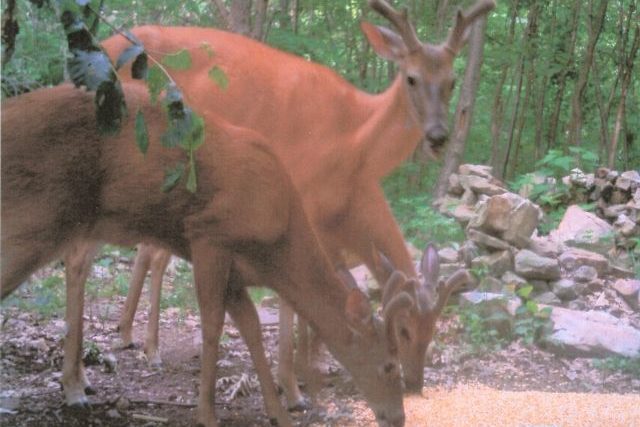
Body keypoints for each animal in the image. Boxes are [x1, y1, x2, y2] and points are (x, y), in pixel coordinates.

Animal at [0, 83, 410, 427]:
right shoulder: (209, 235)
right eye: (390, 366)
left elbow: (251, 329)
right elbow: (212, 326)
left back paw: (74, 386)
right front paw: (207, 413)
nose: (398, 418)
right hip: (31, 220)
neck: (277, 240)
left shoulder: (237, 273)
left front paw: (278, 413)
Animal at [101, 0, 496, 404]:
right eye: (411, 77)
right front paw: (293, 385)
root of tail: (105, 43)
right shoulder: (301, 201)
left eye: (452, 82)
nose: (438, 136)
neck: (354, 141)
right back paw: (137, 350)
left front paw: (314, 367)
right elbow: (295, 299)